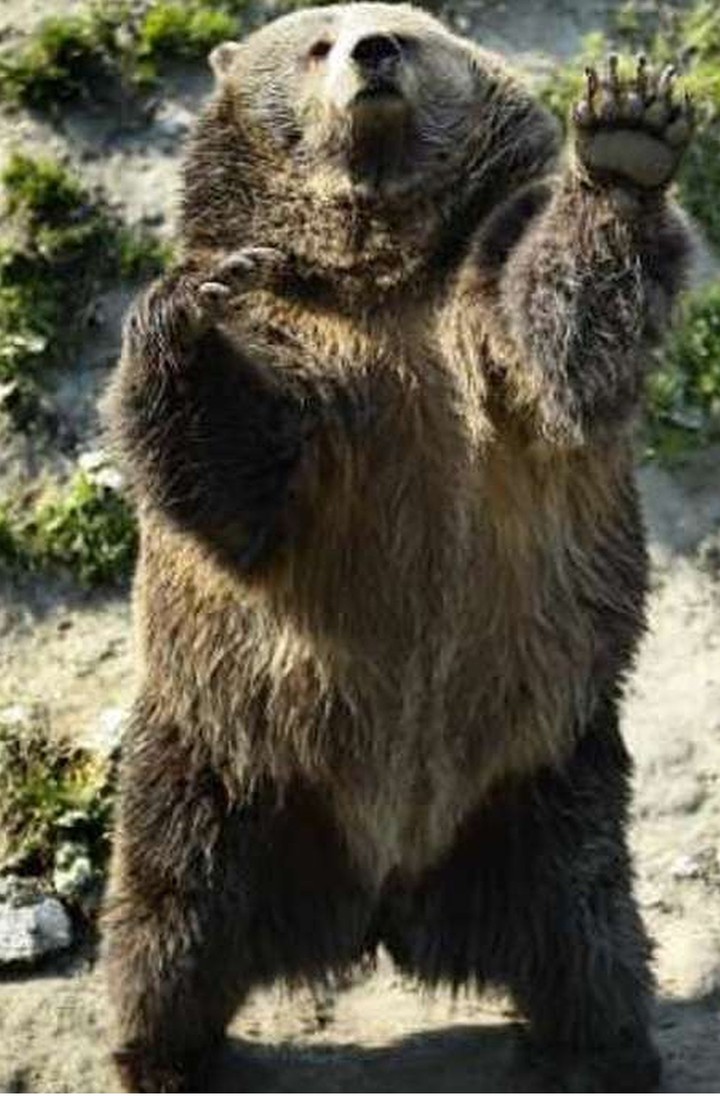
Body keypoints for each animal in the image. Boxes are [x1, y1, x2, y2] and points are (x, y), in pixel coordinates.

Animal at [101, 4, 695, 1091]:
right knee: (172, 912)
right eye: (316, 42)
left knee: (587, 922)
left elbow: (563, 341)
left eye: (406, 33)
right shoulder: (303, 357)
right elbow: (232, 480)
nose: (371, 51)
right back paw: (159, 1051)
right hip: (221, 756)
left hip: (549, 767)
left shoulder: (480, 325)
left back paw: (604, 1047)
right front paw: (189, 300)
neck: (380, 272)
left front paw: (628, 136)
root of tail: (382, 898)